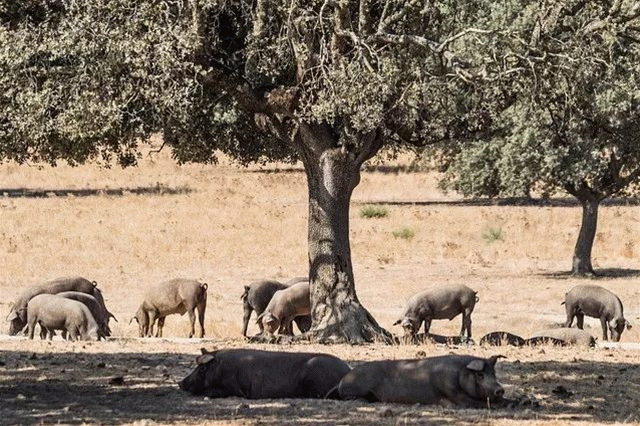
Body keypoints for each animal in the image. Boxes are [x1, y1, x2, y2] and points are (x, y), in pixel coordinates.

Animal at [324, 352, 504, 406]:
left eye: (493, 373)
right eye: (480, 375)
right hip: (355, 386)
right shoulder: (453, 393)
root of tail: (342, 380)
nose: (500, 389)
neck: (460, 374)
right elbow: (477, 403)